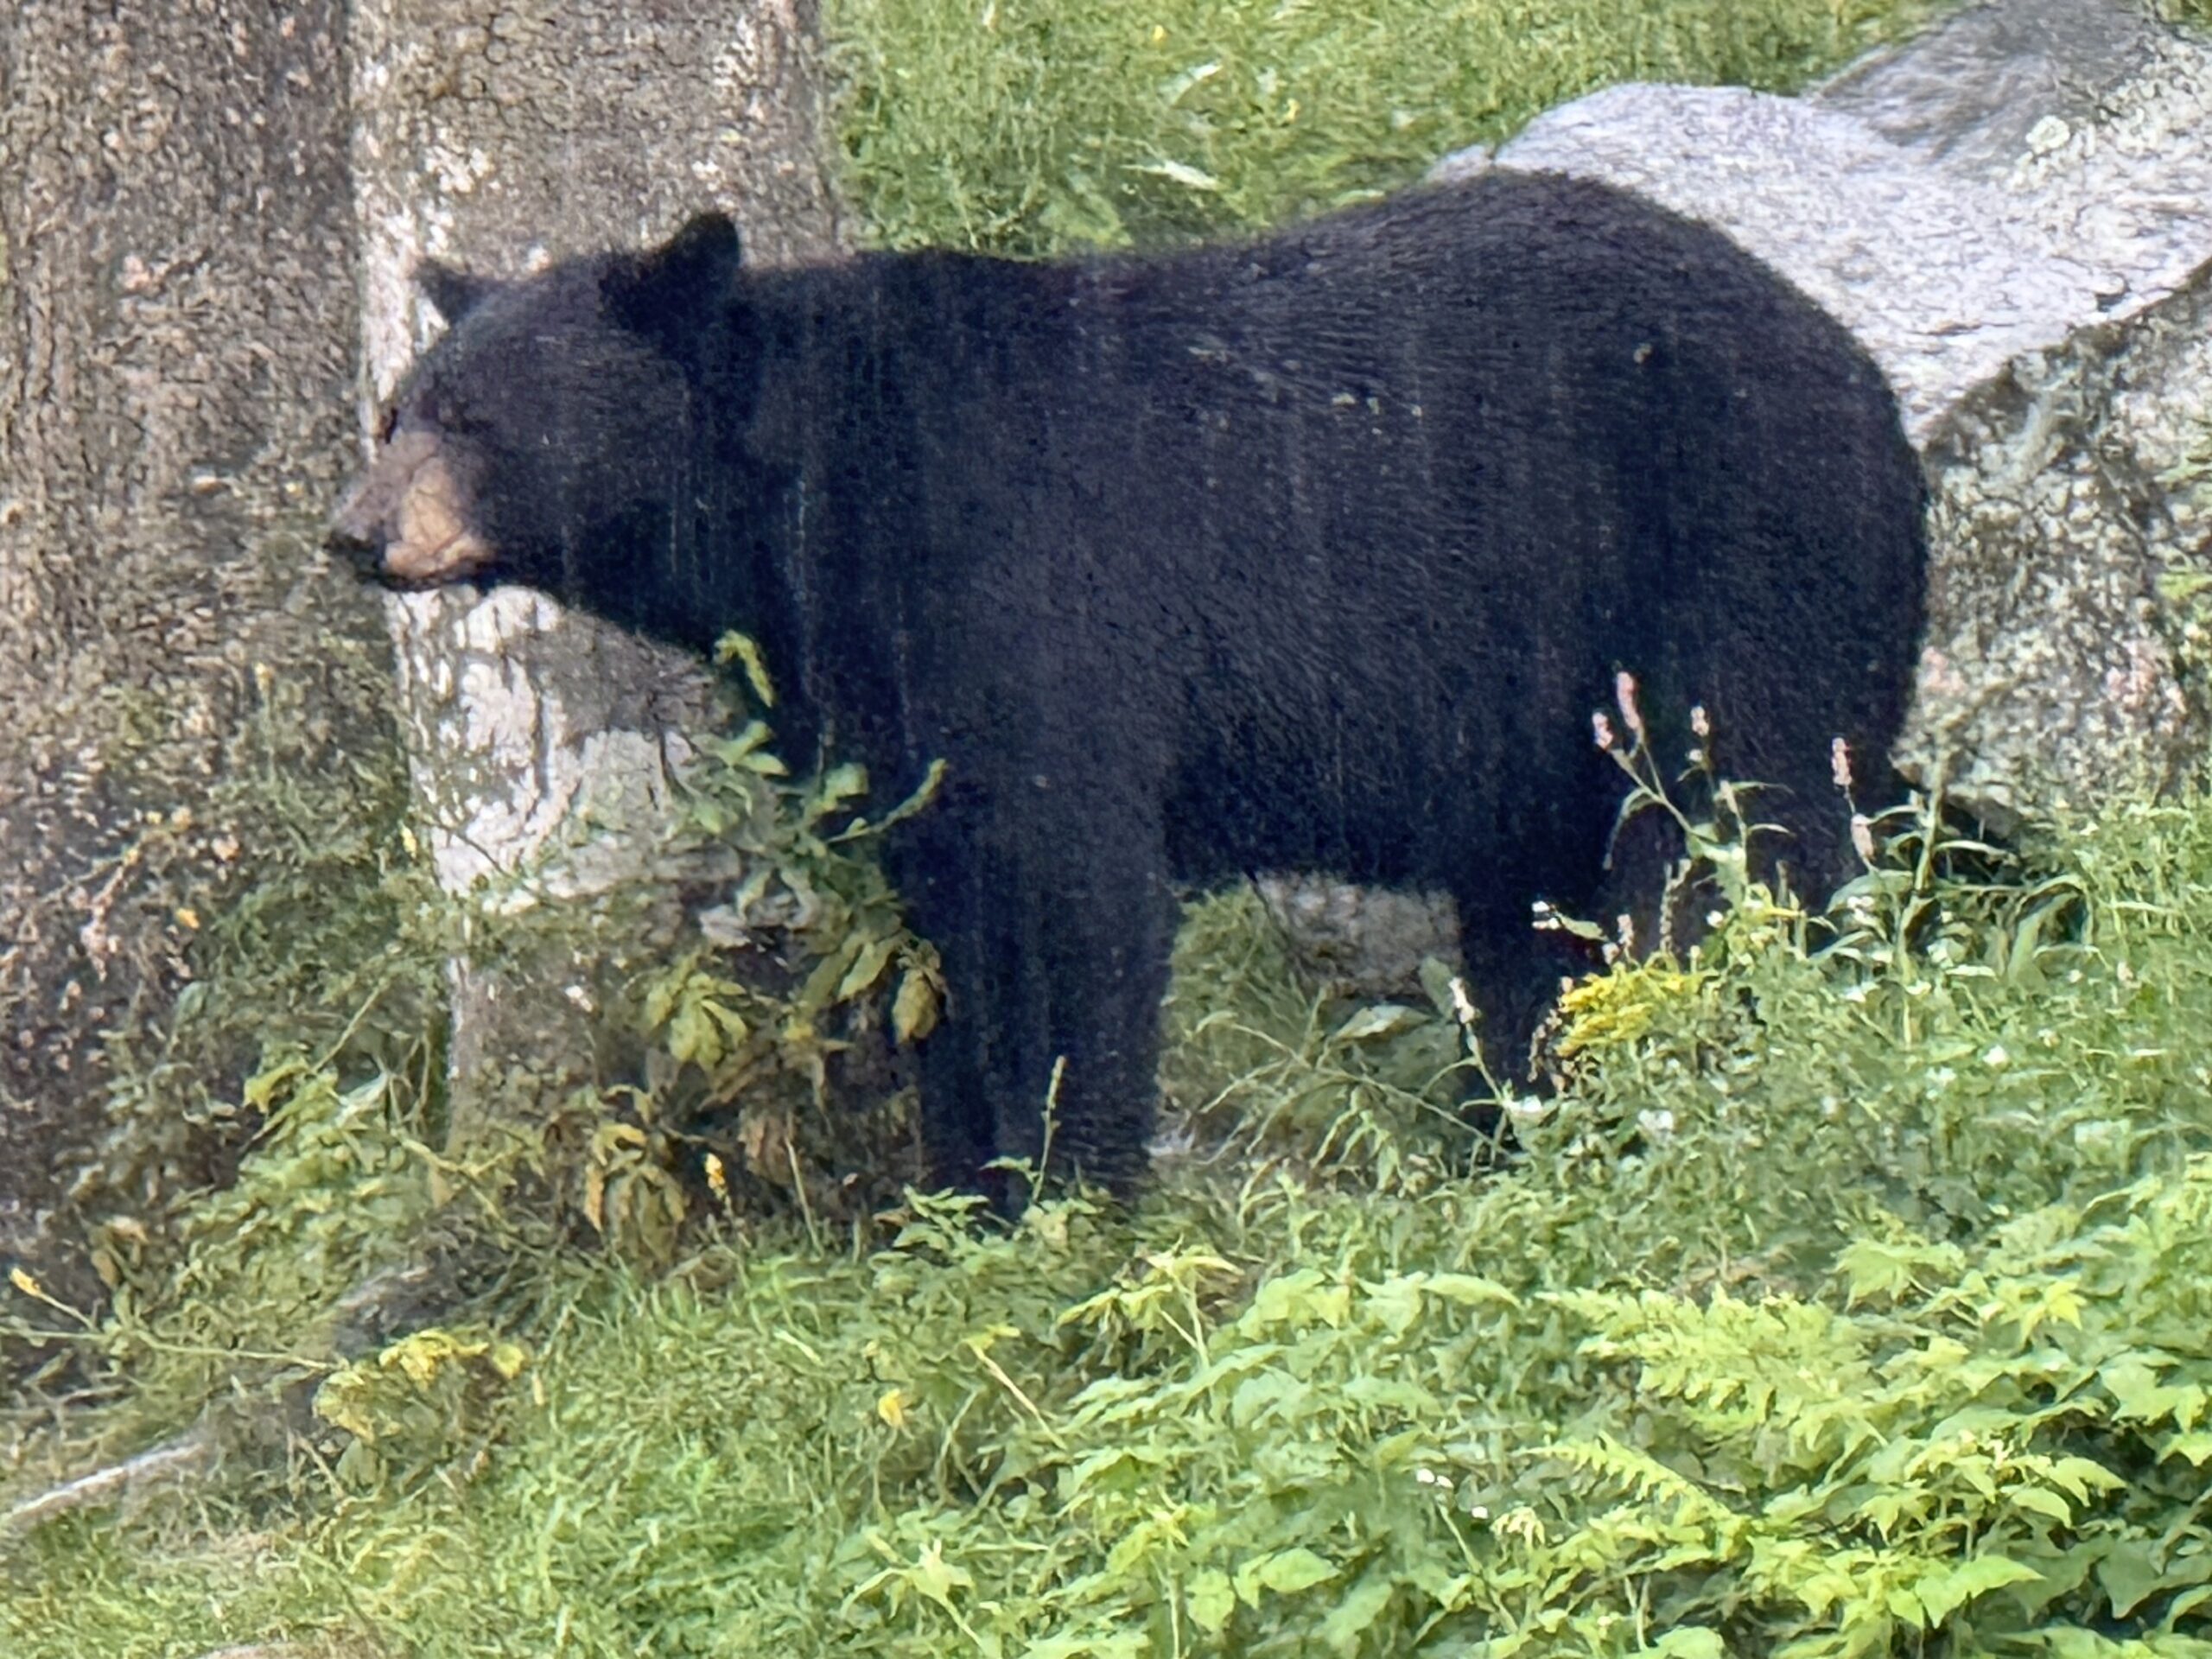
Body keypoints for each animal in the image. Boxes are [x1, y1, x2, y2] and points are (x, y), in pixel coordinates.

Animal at [331, 173, 1928, 1195]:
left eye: (475, 417)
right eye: (396, 411)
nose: (353, 531)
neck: (808, 504)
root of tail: (1869, 385)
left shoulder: (1019, 598)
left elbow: (1066, 903)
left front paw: (1070, 1189)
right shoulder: (869, 689)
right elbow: (938, 928)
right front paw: (960, 1189)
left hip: (1735, 570)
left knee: (1733, 843)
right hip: (1545, 726)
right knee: (1539, 923)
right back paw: (1517, 1126)